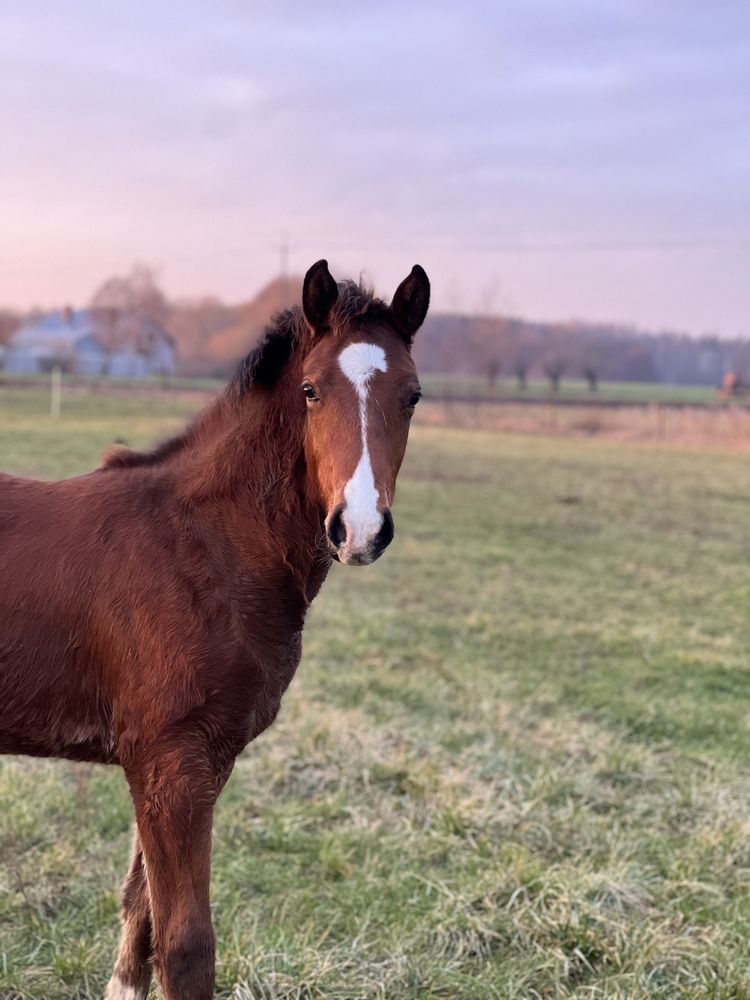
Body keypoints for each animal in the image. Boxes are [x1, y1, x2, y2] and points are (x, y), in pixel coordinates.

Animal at [0, 260, 432, 1000]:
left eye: (412, 395)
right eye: (311, 390)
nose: (360, 529)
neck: (204, 544)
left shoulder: (205, 759)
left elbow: (139, 915)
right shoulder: (169, 760)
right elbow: (185, 945)